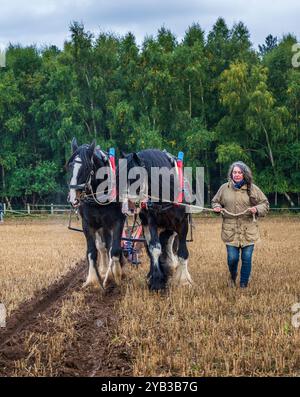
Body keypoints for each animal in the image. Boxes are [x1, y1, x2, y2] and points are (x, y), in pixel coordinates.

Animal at [67, 138, 125, 288]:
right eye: (70, 166)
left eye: (87, 168)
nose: (73, 197)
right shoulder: (88, 224)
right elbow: (92, 251)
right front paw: (92, 279)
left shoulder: (118, 221)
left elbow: (115, 249)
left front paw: (116, 275)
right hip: (101, 226)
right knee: (102, 247)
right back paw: (104, 269)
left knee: (110, 246)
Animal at [119, 148, 192, 290]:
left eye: (136, 176)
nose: (126, 208)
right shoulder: (151, 221)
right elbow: (155, 249)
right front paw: (156, 281)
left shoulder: (182, 224)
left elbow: (182, 252)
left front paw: (184, 281)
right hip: (146, 224)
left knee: (169, 242)